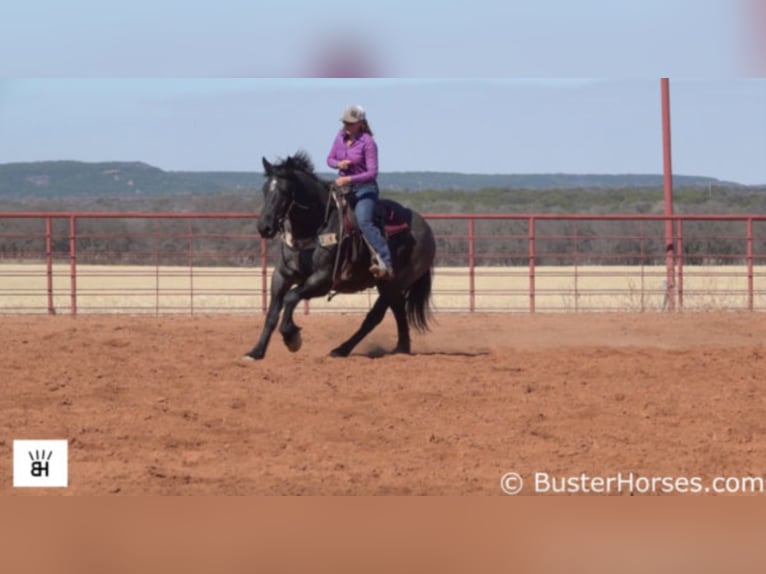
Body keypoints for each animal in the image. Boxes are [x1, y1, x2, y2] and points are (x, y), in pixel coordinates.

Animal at [248, 153, 436, 360]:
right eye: (265, 189)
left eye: (284, 191)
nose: (264, 227)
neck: (313, 228)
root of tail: (426, 229)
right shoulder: (281, 276)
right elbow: (272, 314)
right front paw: (256, 352)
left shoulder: (323, 281)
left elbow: (291, 297)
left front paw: (292, 337)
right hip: (390, 286)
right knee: (398, 310)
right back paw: (401, 349)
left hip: (393, 284)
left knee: (374, 317)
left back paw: (341, 349)